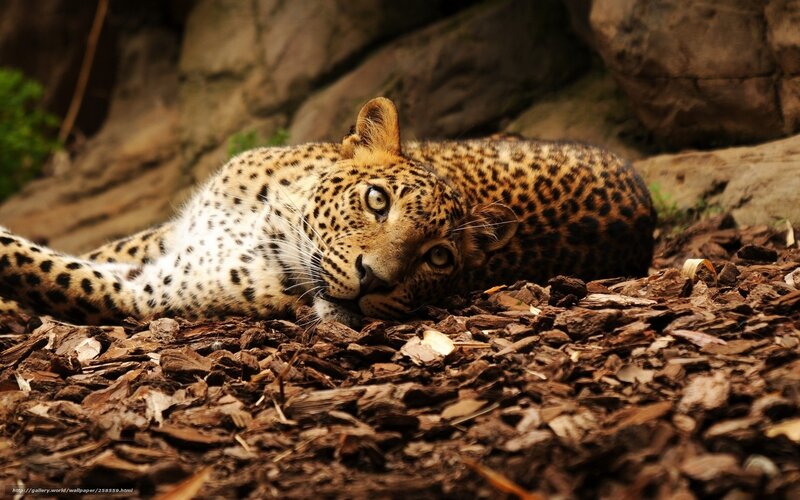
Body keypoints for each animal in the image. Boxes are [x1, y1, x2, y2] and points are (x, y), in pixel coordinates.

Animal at [0, 97, 655, 327]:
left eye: (438, 258)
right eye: (377, 200)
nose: (375, 282)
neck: (267, 224)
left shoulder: (146, 293)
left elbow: (36, 265)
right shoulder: (169, 236)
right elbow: (92, 249)